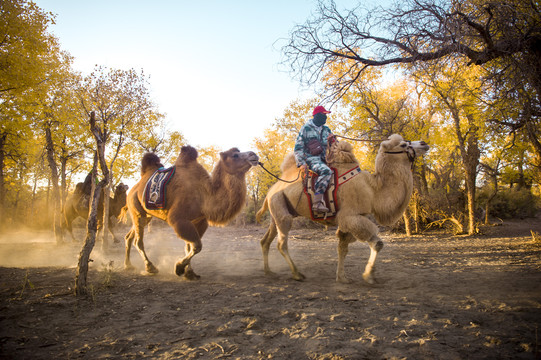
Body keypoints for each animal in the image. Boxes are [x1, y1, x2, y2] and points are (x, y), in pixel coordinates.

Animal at [123, 145, 258, 280]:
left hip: (145, 215)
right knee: (138, 241)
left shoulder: (199, 221)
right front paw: (179, 268)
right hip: (136, 208)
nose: (254, 155)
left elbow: (189, 247)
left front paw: (189, 272)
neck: (204, 195)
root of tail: (134, 188)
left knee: (129, 236)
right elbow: (197, 246)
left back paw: (128, 265)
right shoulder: (178, 219)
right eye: (235, 155)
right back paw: (150, 267)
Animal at [255, 134, 428, 284]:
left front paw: (342, 277)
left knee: (265, 241)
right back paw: (297, 274)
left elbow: (342, 248)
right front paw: (369, 275)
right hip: (281, 211)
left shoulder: (352, 219)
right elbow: (377, 244)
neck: (373, 189)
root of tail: (270, 191)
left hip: (277, 213)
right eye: (403, 145)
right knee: (281, 243)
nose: (424, 143)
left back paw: (268, 271)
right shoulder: (350, 217)